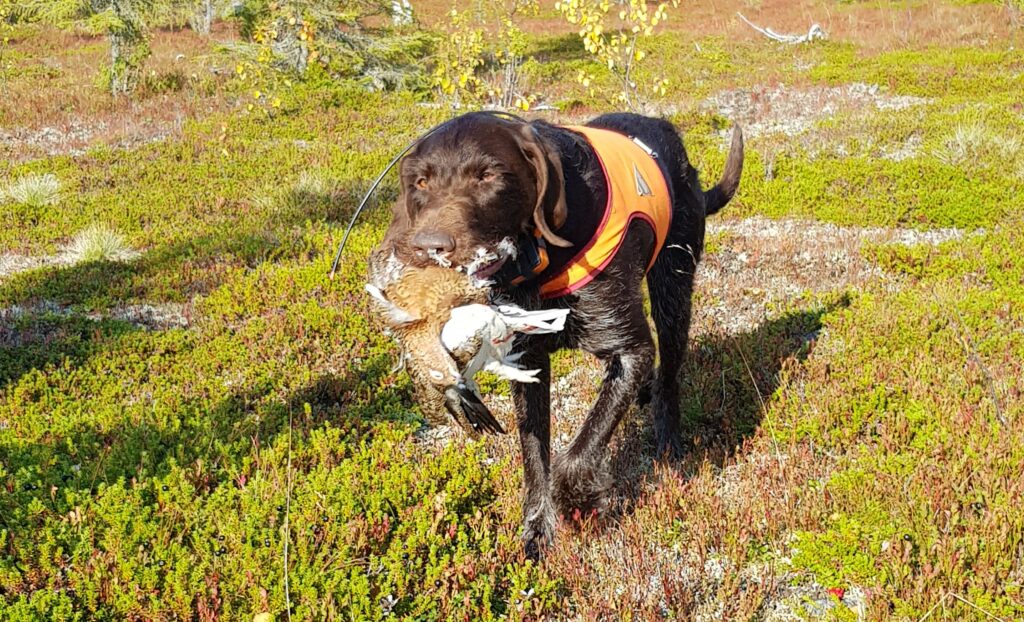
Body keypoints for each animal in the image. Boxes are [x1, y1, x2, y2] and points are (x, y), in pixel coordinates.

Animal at [368, 111, 745, 561]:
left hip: (674, 284)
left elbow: (578, 454)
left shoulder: (629, 348)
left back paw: (670, 449)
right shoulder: (528, 361)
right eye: (421, 182)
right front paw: (537, 528)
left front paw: (580, 501)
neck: (538, 261)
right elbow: (535, 454)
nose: (429, 248)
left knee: (670, 377)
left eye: (488, 175)